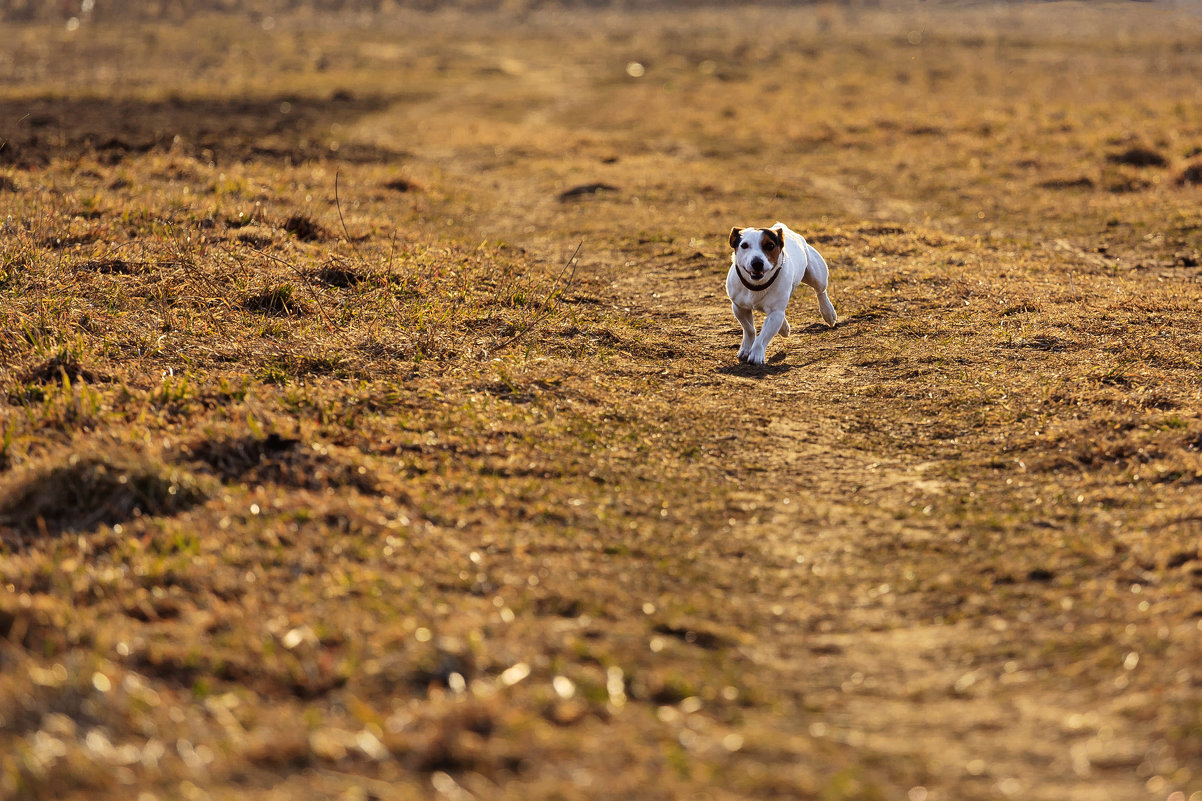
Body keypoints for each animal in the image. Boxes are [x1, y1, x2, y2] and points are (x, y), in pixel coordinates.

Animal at [721, 221, 836, 365]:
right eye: (744, 245)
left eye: (770, 245)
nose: (757, 263)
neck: (757, 285)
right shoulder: (739, 307)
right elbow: (749, 329)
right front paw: (746, 349)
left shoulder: (776, 312)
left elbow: (764, 335)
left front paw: (756, 353)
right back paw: (784, 327)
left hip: (816, 274)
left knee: (821, 292)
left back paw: (828, 313)